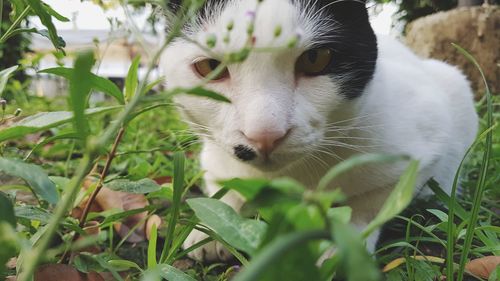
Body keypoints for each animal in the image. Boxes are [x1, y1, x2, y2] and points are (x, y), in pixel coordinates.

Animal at [162, 0, 478, 260]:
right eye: (209, 66)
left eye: (315, 58)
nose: (264, 134)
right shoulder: (214, 158)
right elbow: (225, 188)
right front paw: (209, 229)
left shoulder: (426, 135)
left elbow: (372, 203)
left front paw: (343, 242)